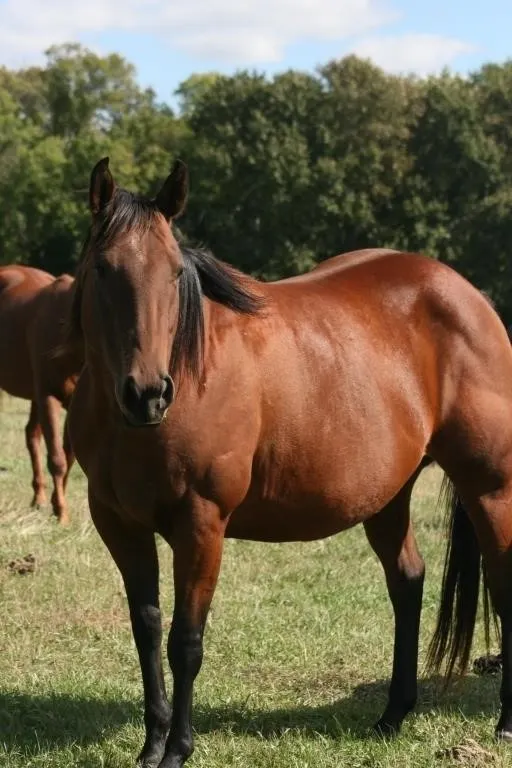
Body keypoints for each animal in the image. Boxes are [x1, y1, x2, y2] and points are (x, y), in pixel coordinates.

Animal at [0, 265, 83, 523]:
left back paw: (38, 498)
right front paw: (62, 513)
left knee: (31, 436)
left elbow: (69, 456)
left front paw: (58, 506)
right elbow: (57, 459)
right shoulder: (48, 397)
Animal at [66, 156, 512, 768]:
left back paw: (505, 723)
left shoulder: (201, 524)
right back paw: (392, 716)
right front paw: (151, 744)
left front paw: (178, 748)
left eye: (176, 273)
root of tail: (471, 298)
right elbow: (147, 630)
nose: (148, 394)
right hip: (389, 495)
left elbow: (186, 641)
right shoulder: (117, 523)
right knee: (407, 581)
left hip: (490, 486)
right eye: (104, 269)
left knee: (504, 583)